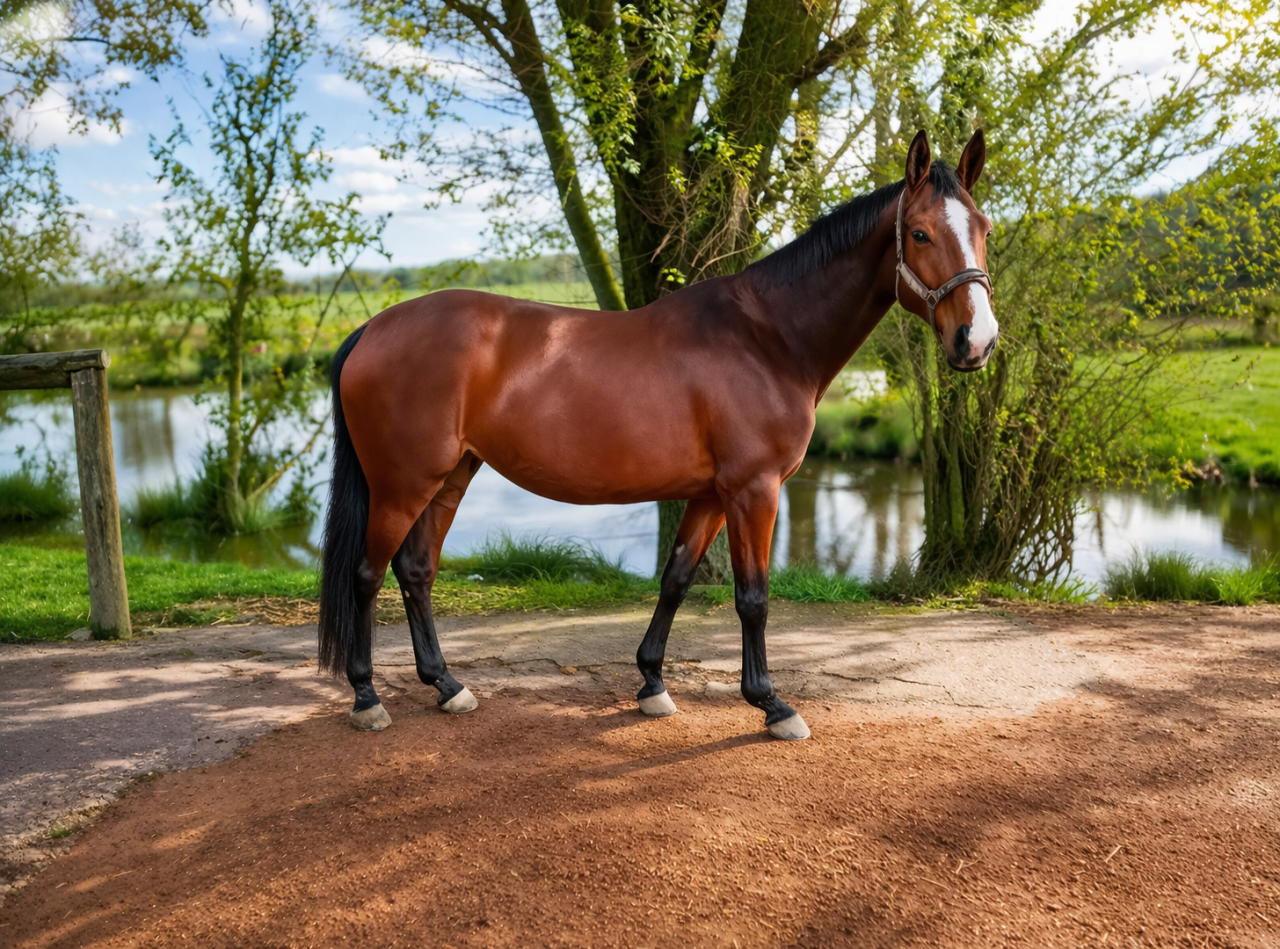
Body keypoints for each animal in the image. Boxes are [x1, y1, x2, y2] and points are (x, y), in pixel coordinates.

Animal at [317, 129, 997, 741]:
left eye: (985, 228)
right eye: (919, 233)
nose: (978, 341)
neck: (768, 339)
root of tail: (372, 330)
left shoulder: (709, 494)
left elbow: (675, 580)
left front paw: (651, 684)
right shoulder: (753, 490)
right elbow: (753, 597)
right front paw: (771, 704)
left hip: (451, 476)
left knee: (415, 570)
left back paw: (447, 686)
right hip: (402, 484)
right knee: (366, 574)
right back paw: (367, 698)